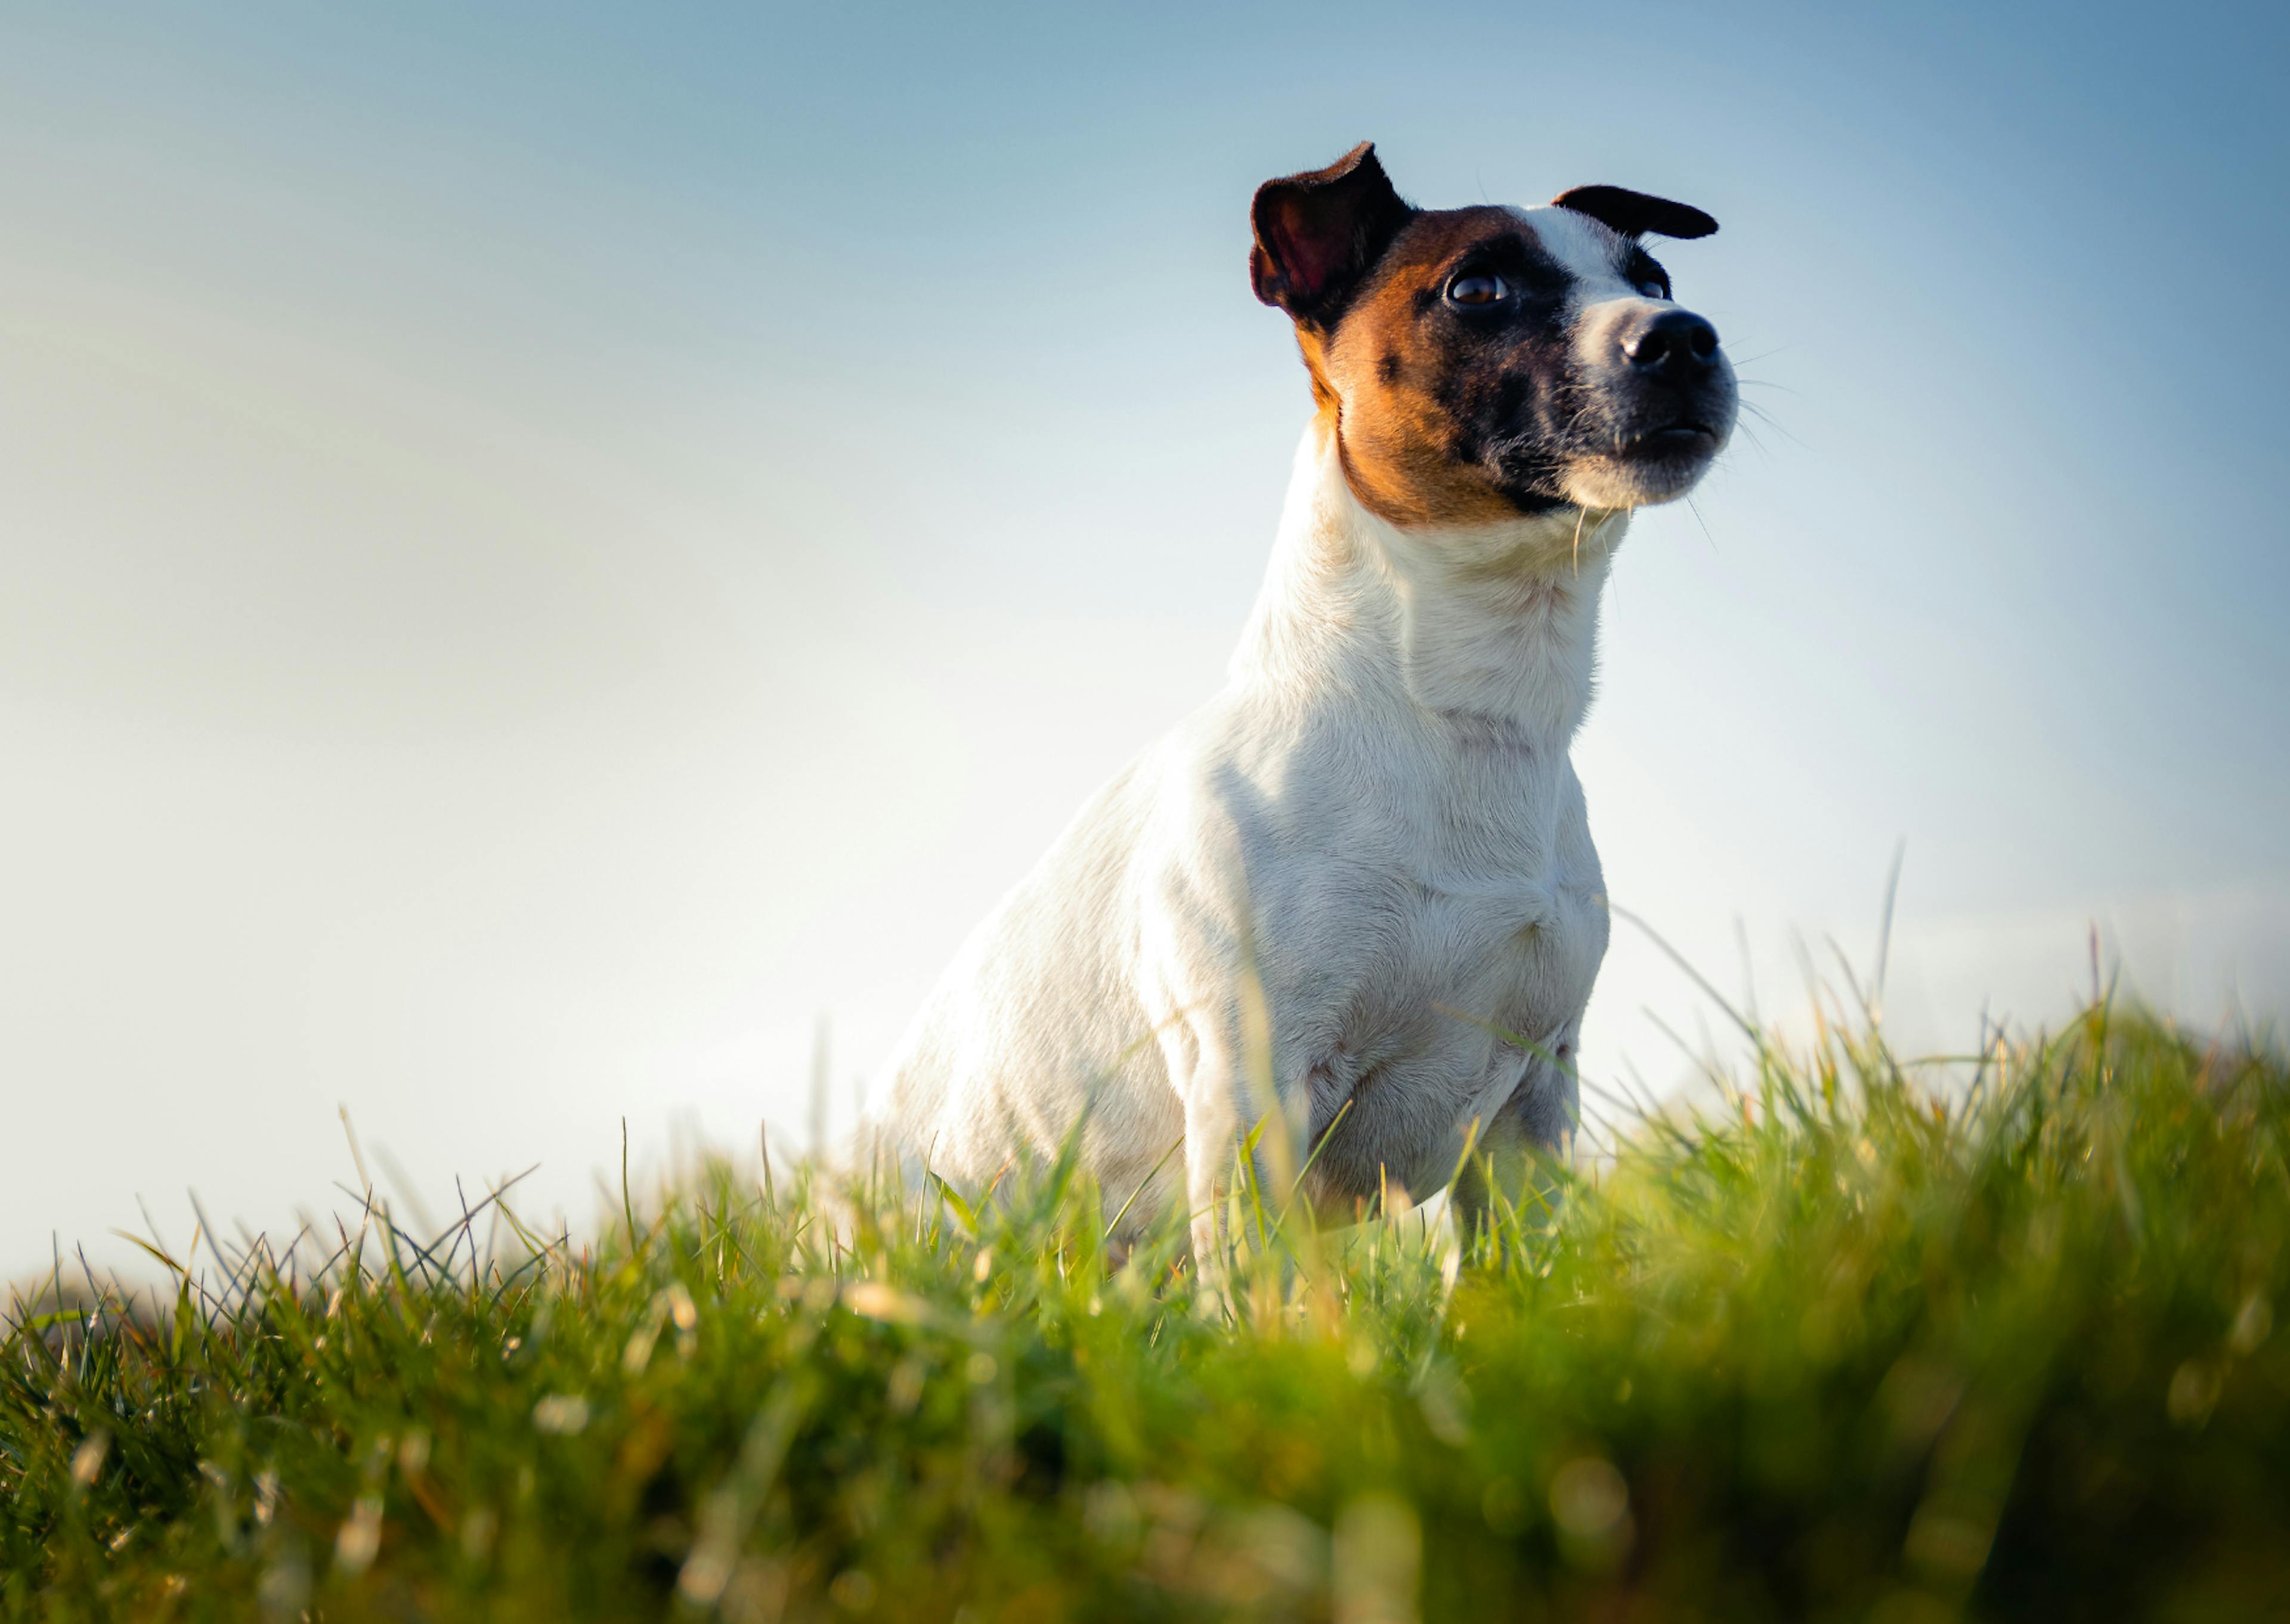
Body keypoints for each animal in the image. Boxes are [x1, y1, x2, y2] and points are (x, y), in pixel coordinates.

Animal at [874, 139, 1731, 1264]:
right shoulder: (1256, 1092)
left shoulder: (1529, 1108)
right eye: (1477, 289)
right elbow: (1262, 1285)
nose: (1686, 337)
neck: (1458, 716)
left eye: (1656, 280)